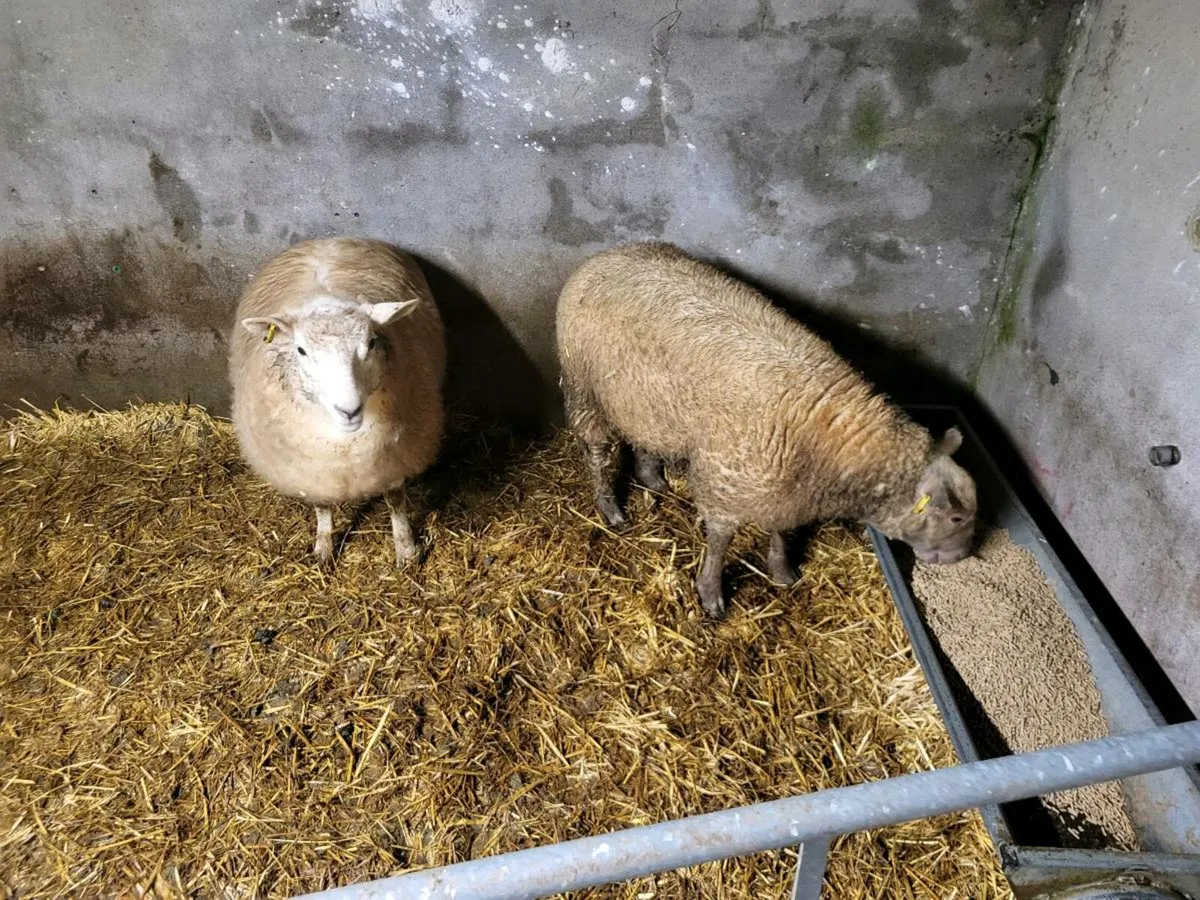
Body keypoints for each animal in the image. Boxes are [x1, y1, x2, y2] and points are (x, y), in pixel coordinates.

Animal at [229, 237, 445, 567]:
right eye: (301, 350)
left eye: (371, 342)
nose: (349, 410)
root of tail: (327, 239)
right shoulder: (313, 468)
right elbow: (322, 506)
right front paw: (323, 548)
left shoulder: (397, 456)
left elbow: (396, 502)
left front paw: (406, 551)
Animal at [555, 241, 976, 618]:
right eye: (956, 518)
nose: (961, 558)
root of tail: (606, 253)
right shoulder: (727, 482)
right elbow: (720, 540)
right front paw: (711, 593)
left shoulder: (783, 491)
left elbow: (779, 531)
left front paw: (781, 570)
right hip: (584, 389)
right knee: (597, 453)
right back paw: (611, 510)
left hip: (643, 402)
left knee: (644, 438)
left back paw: (652, 479)